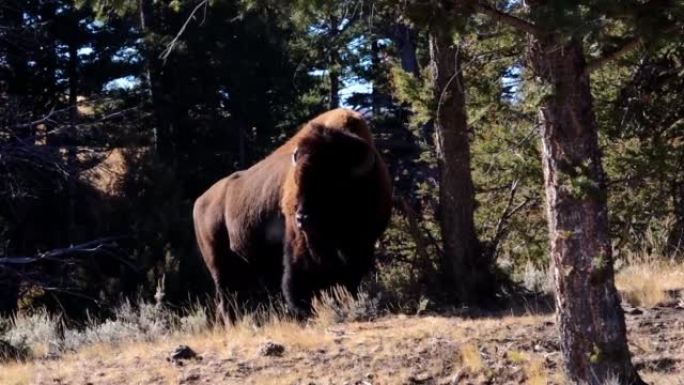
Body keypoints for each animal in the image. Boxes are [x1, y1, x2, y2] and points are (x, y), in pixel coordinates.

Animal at [195, 107, 392, 320]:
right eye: (298, 181)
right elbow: (298, 277)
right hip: (219, 265)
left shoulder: (362, 244)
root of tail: (199, 202)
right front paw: (303, 311)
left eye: (334, 183)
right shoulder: (300, 244)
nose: (302, 218)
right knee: (226, 297)